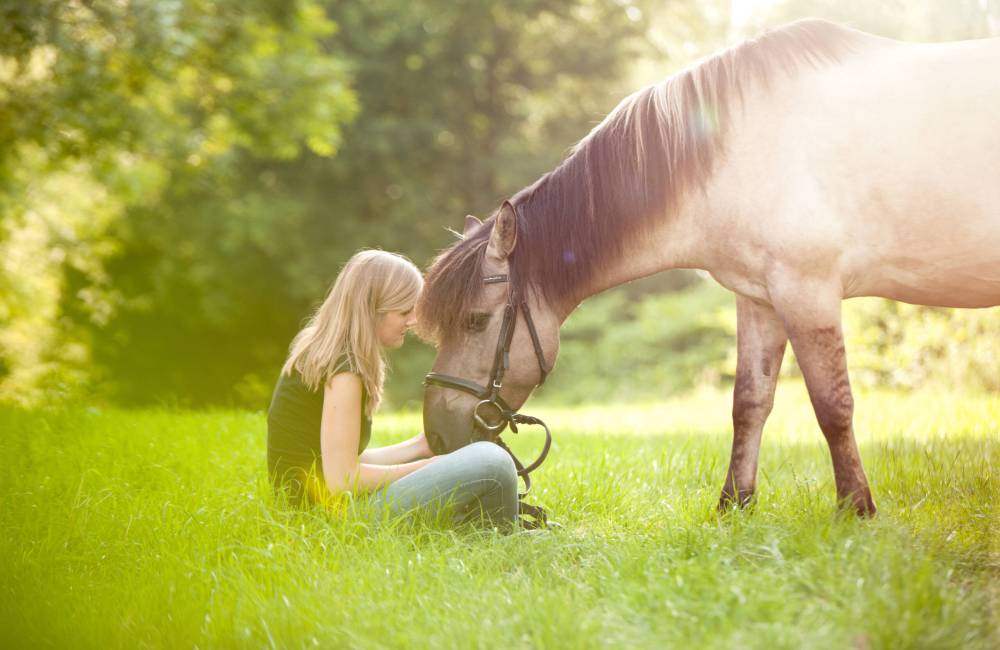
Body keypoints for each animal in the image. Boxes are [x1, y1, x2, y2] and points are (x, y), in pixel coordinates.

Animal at [414, 19, 1000, 516]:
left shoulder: (807, 291)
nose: (437, 437)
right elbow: (749, 402)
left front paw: (856, 508)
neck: (732, 152)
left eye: (475, 321)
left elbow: (833, 405)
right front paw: (734, 506)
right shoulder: (760, 298)